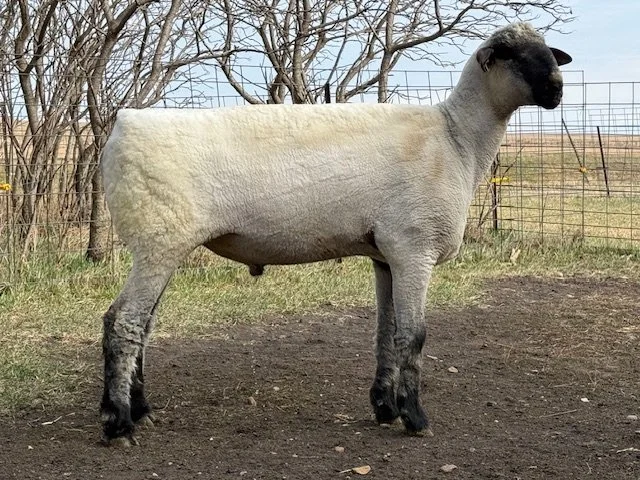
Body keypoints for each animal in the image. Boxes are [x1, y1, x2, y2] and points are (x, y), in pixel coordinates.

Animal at [99, 22, 571, 446]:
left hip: (161, 244)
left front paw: (385, 406)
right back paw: (118, 422)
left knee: (135, 323)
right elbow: (414, 335)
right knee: (125, 323)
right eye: (510, 53)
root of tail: (123, 126)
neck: (457, 140)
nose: (558, 89)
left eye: (549, 51)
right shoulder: (414, 246)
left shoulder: (386, 253)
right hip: (159, 238)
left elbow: (386, 332)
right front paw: (414, 416)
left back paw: (137, 410)